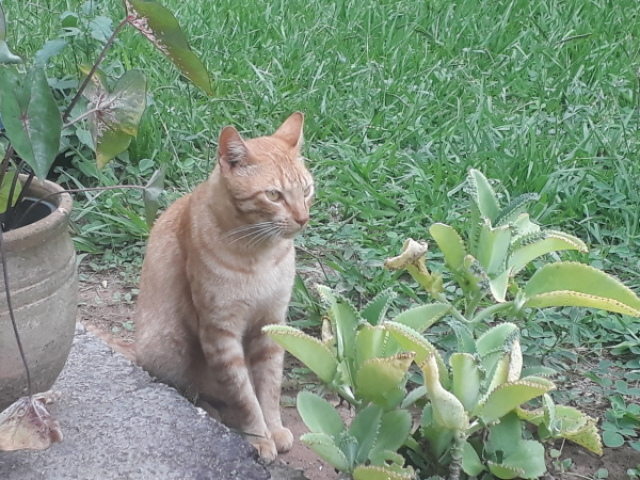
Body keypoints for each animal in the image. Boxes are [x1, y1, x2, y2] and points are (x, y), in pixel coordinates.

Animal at [135, 113, 316, 462]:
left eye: (307, 190)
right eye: (274, 195)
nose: (303, 218)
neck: (259, 255)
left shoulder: (271, 323)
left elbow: (269, 387)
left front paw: (274, 429)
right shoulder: (220, 334)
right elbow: (244, 396)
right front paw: (259, 438)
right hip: (168, 346)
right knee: (190, 390)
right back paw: (212, 411)